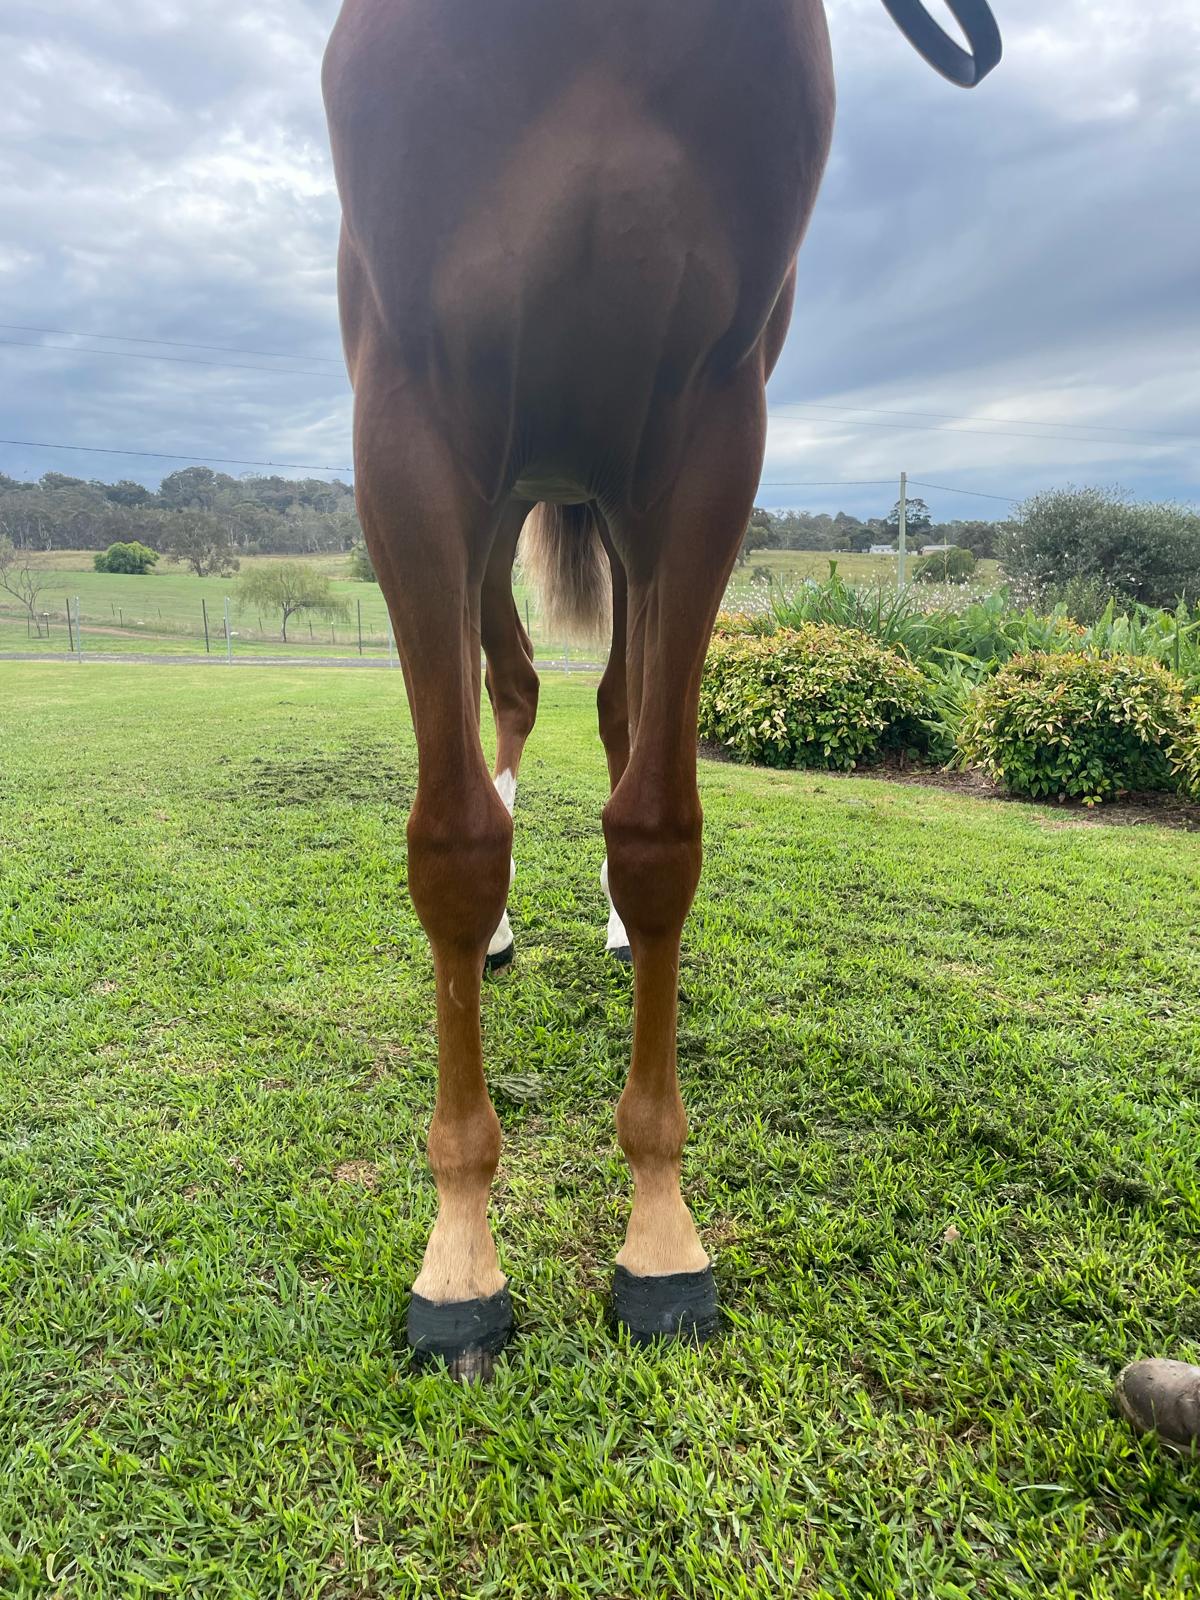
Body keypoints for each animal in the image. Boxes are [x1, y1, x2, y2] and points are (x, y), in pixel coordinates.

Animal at [322, 0, 1000, 1377]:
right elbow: (453, 843)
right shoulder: (409, 429)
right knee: (508, 688)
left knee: (615, 713)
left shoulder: (706, 441)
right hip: (496, 503)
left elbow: (658, 829)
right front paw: (461, 1250)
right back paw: (508, 930)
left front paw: (660, 1230)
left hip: (620, 509)